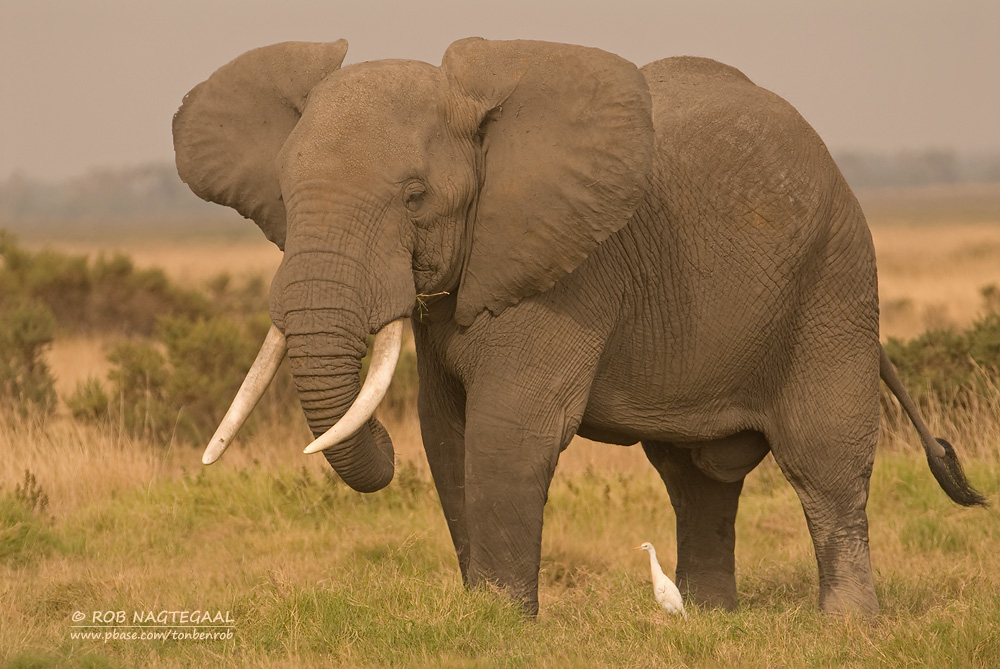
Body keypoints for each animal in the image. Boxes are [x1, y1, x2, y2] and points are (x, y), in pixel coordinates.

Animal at [172, 35, 984, 612]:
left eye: (413, 196)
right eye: (284, 196)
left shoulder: (569, 268)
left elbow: (509, 427)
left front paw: (500, 623)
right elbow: (446, 430)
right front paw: (482, 615)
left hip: (834, 283)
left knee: (823, 460)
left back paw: (848, 626)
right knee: (695, 477)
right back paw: (711, 620)